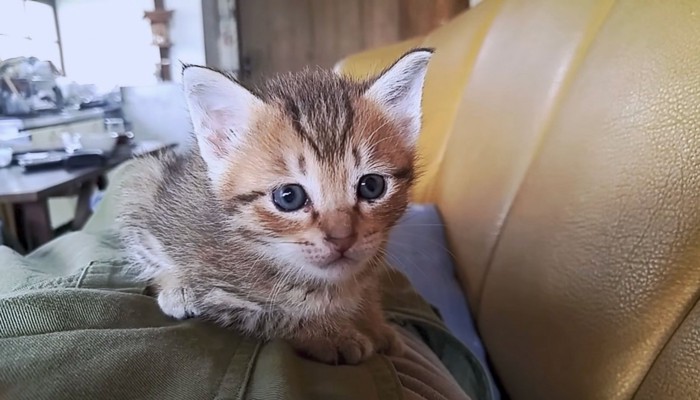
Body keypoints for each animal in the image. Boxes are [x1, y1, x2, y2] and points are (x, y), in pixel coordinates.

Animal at [116, 48, 432, 364]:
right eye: (289, 196)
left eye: (371, 186)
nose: (342, 239)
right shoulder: (219, 294)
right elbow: (276, 315)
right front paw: (332, 335)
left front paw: (377, 326)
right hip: (145, 180)